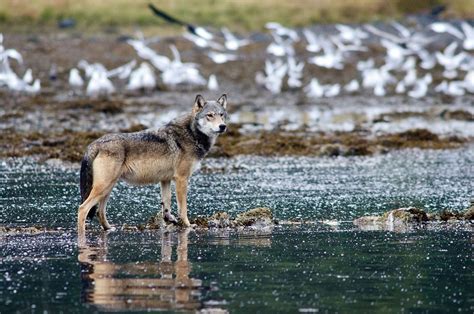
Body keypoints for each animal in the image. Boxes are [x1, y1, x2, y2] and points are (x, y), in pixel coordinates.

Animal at [77, 94, 228, 233]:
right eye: (210, 115)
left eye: (221, 115)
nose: (222, 126)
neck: (192, 134)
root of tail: (94, 144)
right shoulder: (181, 179)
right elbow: (183, 208)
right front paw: (188, 225)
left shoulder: (166, 180)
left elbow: (166, 204)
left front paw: (169, 219)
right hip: (103, 187)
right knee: (82, 209)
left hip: (108, 188)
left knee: (100, 211)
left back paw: (109, 228)